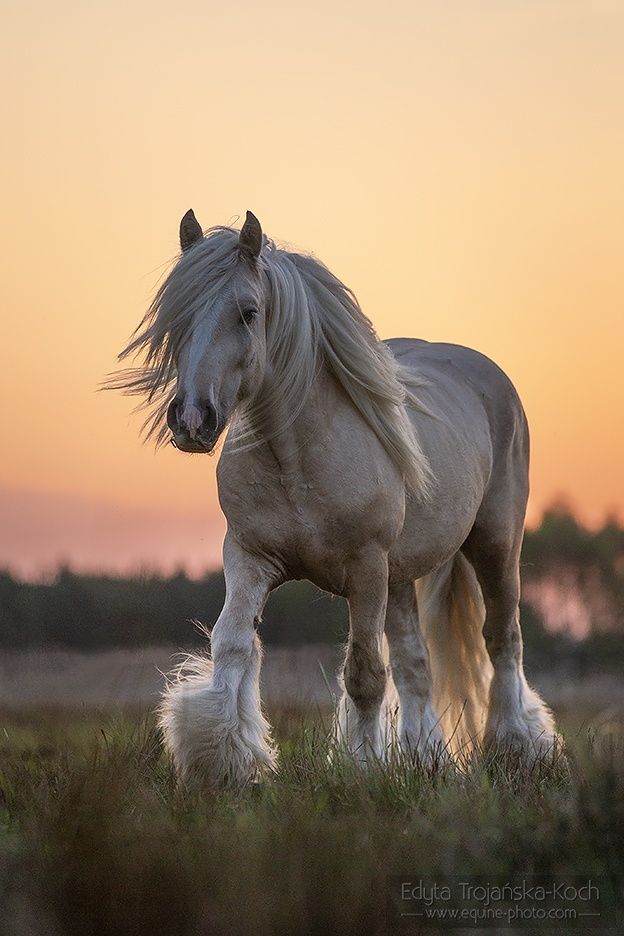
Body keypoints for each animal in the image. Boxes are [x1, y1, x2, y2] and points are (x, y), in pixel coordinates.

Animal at [111, 210, 556, 784]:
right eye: (177, 314)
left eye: (248, 313)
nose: (192, 419)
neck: (295, 458)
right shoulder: (250, 556)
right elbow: (233, 643)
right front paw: (224, 762)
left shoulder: (365, 568)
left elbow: (364, 672)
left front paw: (362, 769)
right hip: (402, 575)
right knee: (415, 662)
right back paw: (426, 756)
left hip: (495, 545)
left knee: (502, 640)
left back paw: (518, 748)